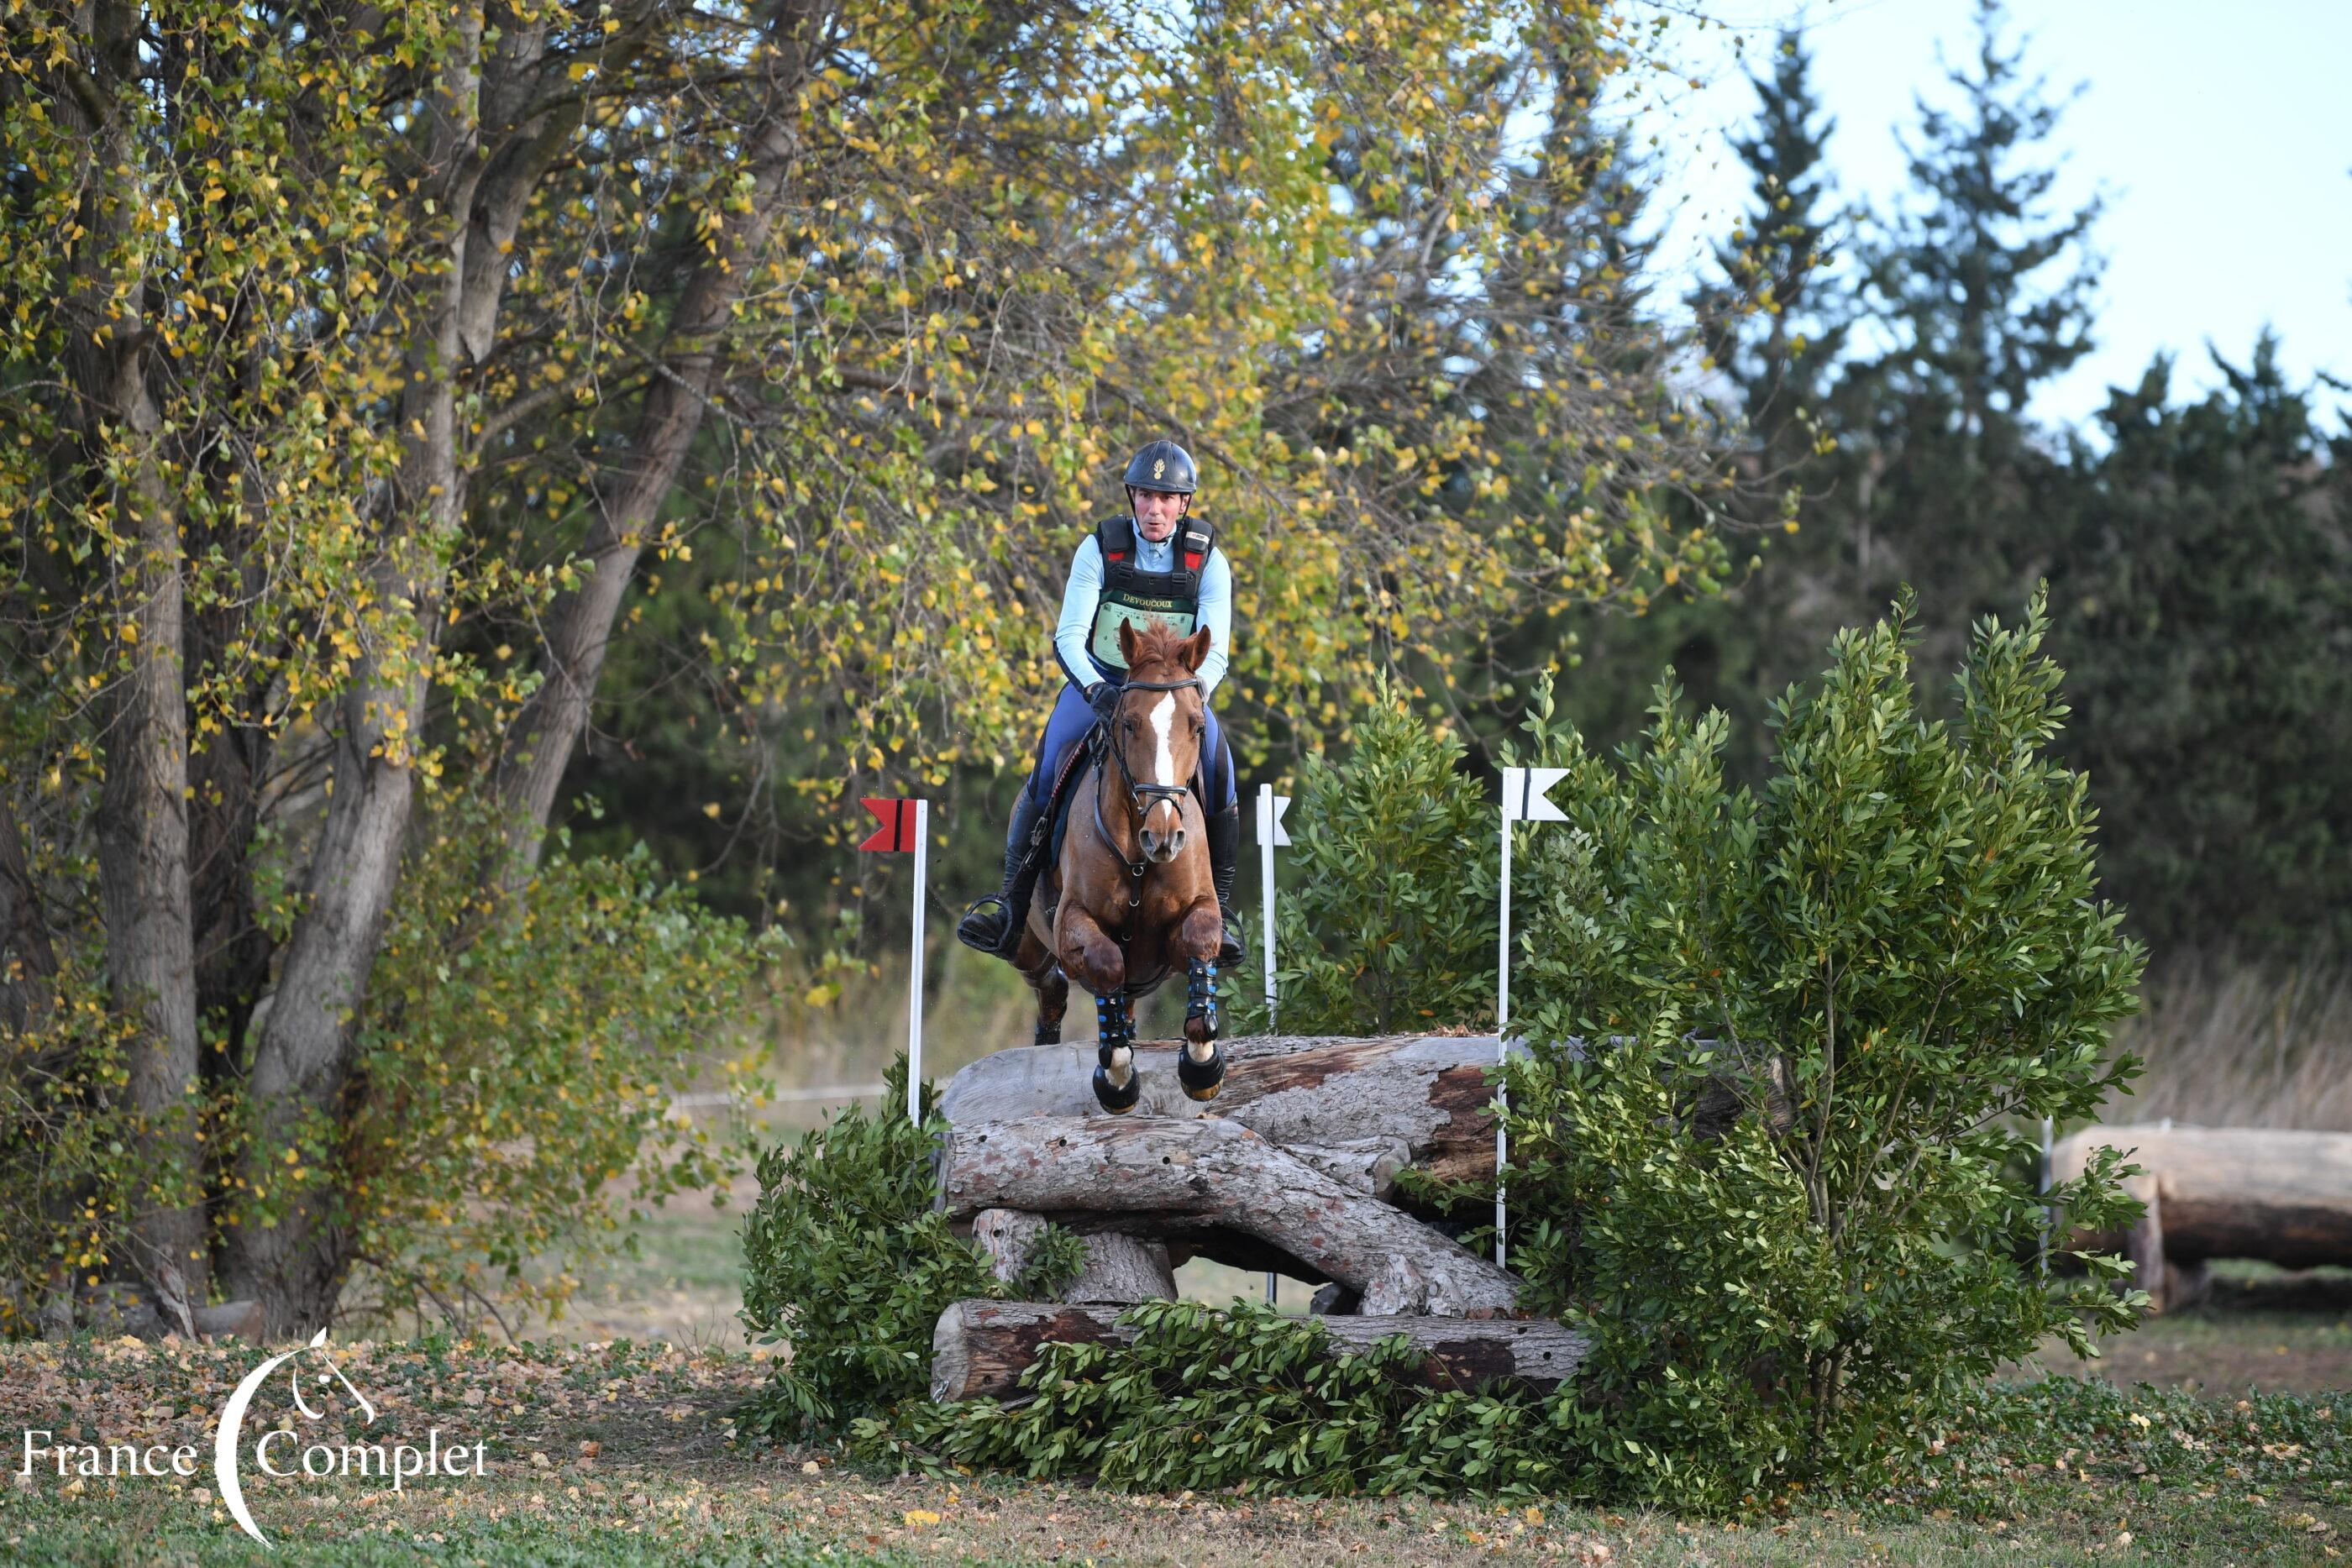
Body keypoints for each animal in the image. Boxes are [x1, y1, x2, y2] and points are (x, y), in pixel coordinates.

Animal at [1010, 618, 1226, 1112]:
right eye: (1128, 723)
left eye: (1196, 727)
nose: (1164, 836)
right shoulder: (1072, 920)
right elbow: (1107, 963)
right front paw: (1117, 1077)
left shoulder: (1199, 911)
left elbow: (1200, 942)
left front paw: (1202, 1065)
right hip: (1027, 939)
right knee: (1049, 980)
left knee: (1118, 1001)